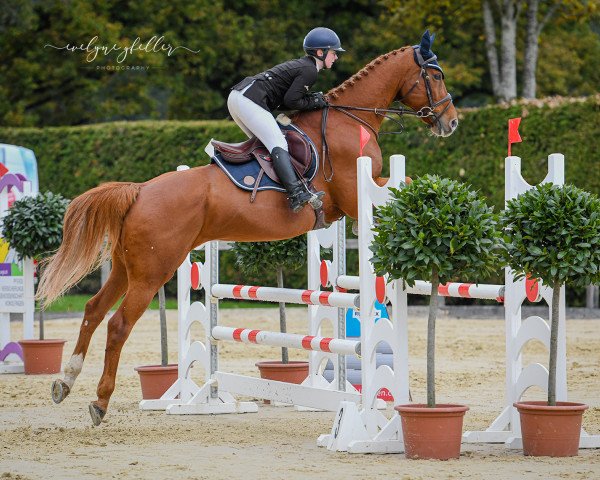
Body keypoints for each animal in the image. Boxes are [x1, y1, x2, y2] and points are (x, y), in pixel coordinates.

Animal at [39, 31, 458, 426]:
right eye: (435, 75)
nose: (451, 122)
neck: (347, 120)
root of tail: (140, 191)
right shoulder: (358, 194)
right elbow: (397, 188)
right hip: (152, 272)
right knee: (118, 325)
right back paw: (99, 402)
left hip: (127, 267)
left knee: (93, 310)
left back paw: (65, 382)